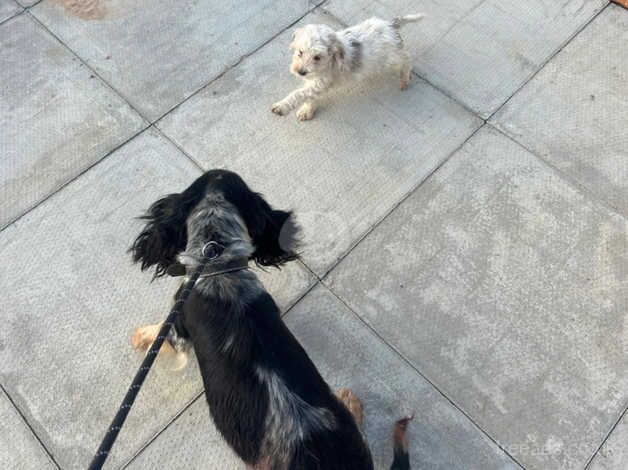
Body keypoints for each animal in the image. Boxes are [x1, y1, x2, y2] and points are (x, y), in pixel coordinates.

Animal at [272, 14, 424, 121]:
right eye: (300, 52)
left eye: (317, 57)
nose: (300, 72)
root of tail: (390, 25)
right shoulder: (313, 82)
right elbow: (309, 97)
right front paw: (307, 111)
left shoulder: (321, 82)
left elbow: (299, 93)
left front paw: (281, 106)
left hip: (391, 59)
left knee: (407, 60)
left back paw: (405, 79)